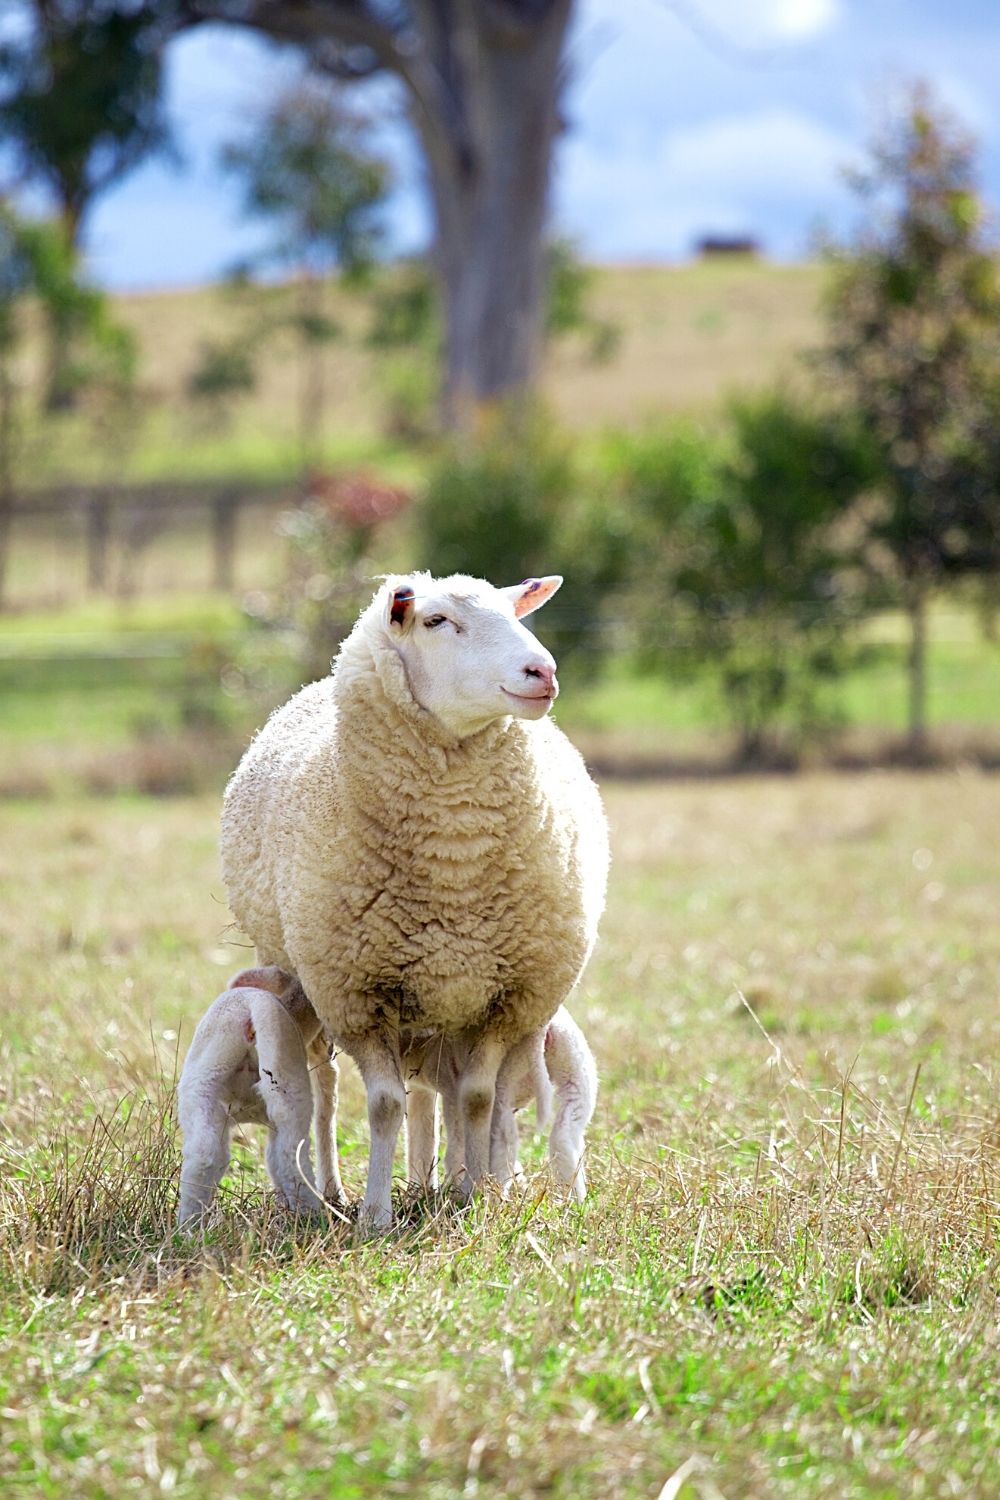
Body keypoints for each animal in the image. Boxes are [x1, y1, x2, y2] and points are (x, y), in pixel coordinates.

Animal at [179, 966, 347, 1224]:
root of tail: (252, 1008)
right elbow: (273, 1159)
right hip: (286, 1077)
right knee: (290, 1155)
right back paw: (310, 1216)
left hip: (202, 1086)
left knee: (203, 1154)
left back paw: (189, 1225)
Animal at [404, 1002, 599, 1200]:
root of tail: (541, 1032)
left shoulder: (447, 1086)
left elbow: (429, 1134)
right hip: (576, 1070)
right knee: (564, 1133)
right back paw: (574, 1199)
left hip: (505, 1080)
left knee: (503, 1138)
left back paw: (490, 1194)